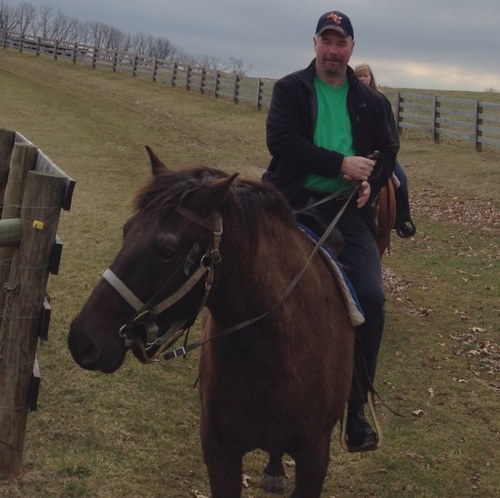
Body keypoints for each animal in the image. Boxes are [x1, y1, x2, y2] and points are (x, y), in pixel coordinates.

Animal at [67, 149, 356, 498]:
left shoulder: (314, 457)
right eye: (126, 229)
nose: (83, 340)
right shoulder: (220, 452)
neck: (271, 359)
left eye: (166, 250)